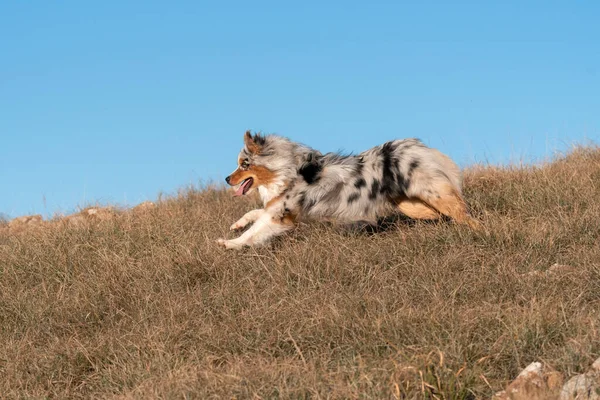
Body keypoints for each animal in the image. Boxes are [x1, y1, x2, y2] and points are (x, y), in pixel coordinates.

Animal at [218, 131, 480, 250]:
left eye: (244, 164)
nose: (227, 178)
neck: (286, 170)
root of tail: (418, 146)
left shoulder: (279, 216)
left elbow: (253, 232)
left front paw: (228, 243)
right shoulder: (282, 212)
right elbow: (254, 215)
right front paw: (236, 225)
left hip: (436, 195)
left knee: (465, 214)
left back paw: (479, 230)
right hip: (412, 205)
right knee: (440, 215)